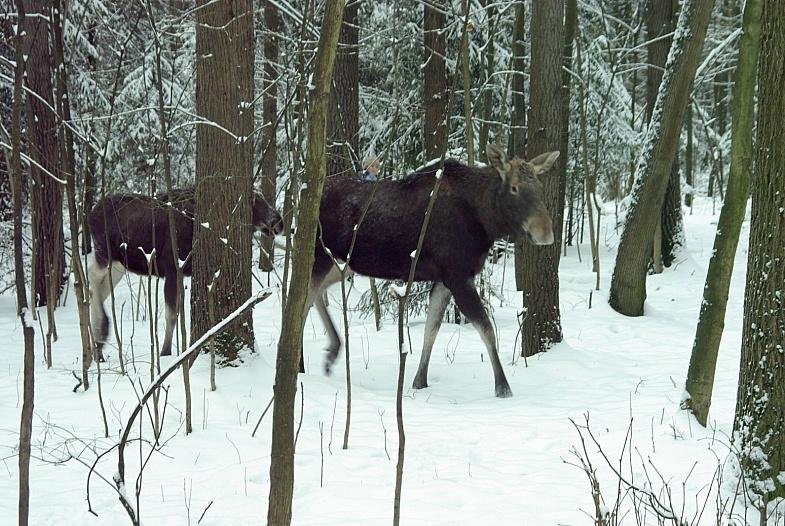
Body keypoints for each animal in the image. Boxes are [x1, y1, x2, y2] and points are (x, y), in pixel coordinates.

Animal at [87, 188, 284, 360]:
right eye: (254, 199)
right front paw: (165, 352)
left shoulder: (181, 274)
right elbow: (172, 315)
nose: (279, 222)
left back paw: (97, 344)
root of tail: (91, 214)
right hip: (105, 253)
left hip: (119, 264)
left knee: (98, 289)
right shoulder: (173, 269)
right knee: (91, 277)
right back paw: (101, 332)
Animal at [306, 144, 556, 400]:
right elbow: (486, 328)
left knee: (315, 294)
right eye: (514, 187)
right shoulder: (458, 276)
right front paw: (503, 387)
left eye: (539, 186)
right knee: (303, 300)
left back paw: (331, 351)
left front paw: (419, 381)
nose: (545, 233)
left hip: (342, 264)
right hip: (320, 255)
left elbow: (431, 329)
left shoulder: (444, 279)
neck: (485, 222)